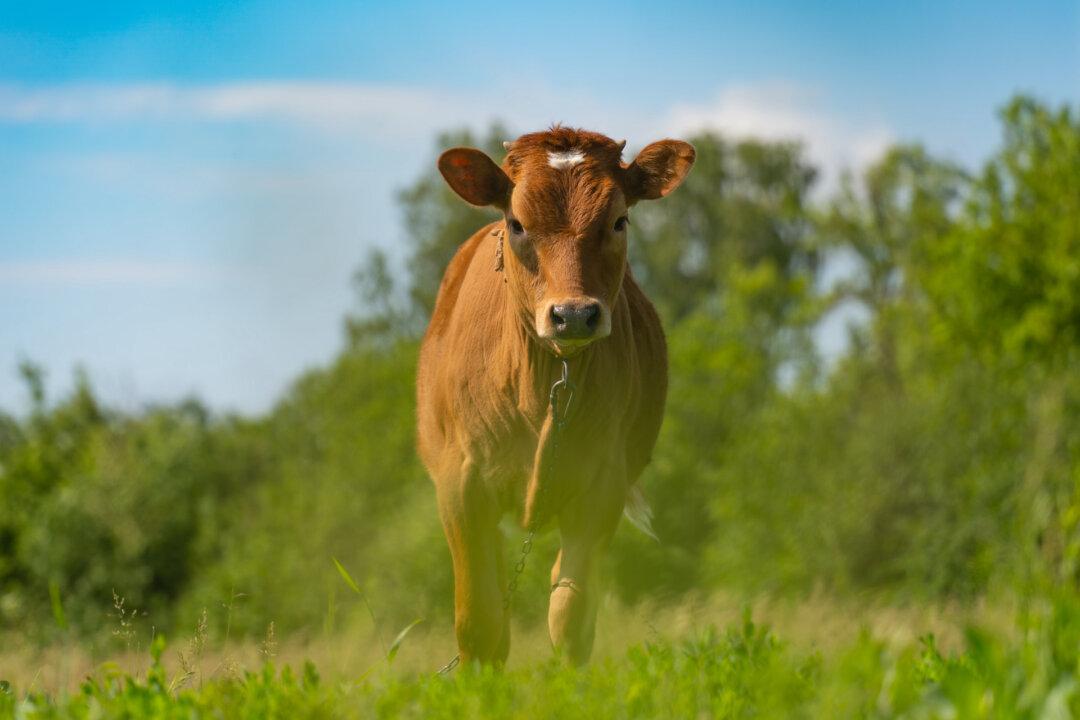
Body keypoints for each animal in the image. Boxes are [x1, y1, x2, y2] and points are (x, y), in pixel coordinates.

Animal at [417, 127, 694, 666]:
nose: (574, 315)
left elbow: (571, 616)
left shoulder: (602, 486)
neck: (541, 381)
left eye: (618, 220)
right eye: (517, 224)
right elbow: (479, 623)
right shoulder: (460, 485)